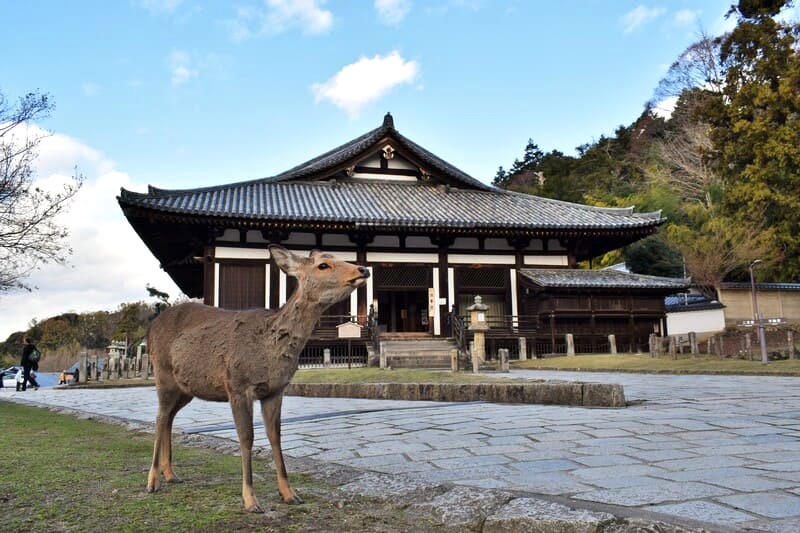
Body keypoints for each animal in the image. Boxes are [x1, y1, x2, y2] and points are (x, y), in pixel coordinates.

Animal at [145, 245, 370, 512]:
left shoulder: (275, 390)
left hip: (186, 388)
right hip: (163, 374)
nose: (363, 269)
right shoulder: (237, 386)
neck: (269, 349)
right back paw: (152, 481)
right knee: (159, 418)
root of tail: (150, 329)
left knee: (169, 418)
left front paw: (289, 493)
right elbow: (247, 438)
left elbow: (276, 437)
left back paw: (171, 474)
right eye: (323, 265)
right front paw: (251, 500)